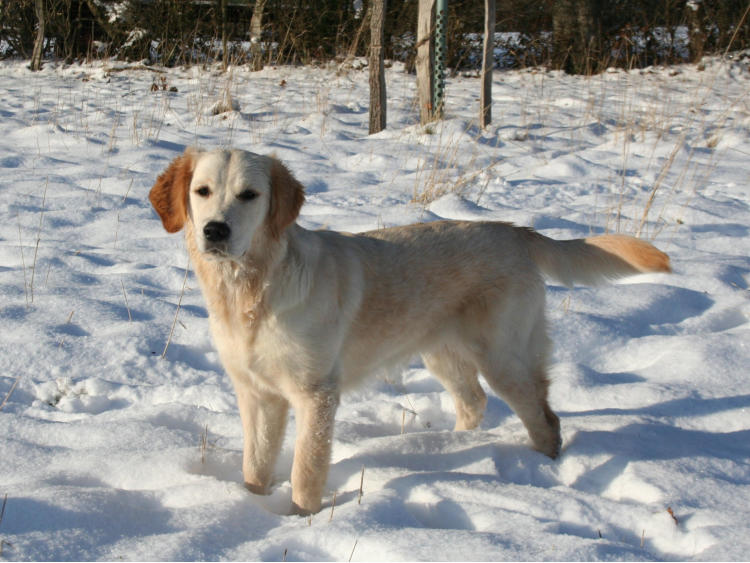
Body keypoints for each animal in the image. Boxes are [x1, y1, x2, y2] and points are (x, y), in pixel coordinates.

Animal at [149, 147, 671, 515]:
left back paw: (544, 472)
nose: (215, 231)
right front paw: (252, 506)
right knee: (474, 402)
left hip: (502, 356)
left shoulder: (316, 393)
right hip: (444, 352)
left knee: (545, 417)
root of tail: (514, 230)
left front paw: (299, 520)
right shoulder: (256, 393)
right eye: (202, 191)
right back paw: (450, 448)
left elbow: (306, 470)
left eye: (249, 196)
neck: (252, 289)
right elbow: (255, 466)